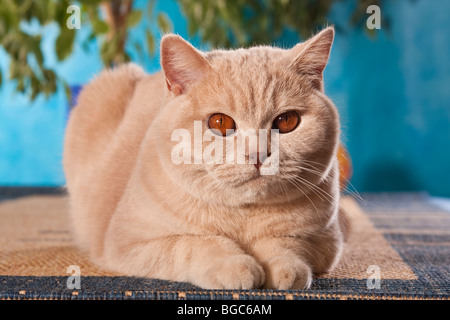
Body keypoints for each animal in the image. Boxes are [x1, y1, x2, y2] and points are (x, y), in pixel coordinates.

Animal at [62, 26, 348, 288]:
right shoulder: (127, 243)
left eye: (287, 121)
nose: (257, 154)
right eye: (220, 122)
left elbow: (287, 243)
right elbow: (196, 243)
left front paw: (285, 269)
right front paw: (235, 266)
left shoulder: (325, 241)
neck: (244, 217)